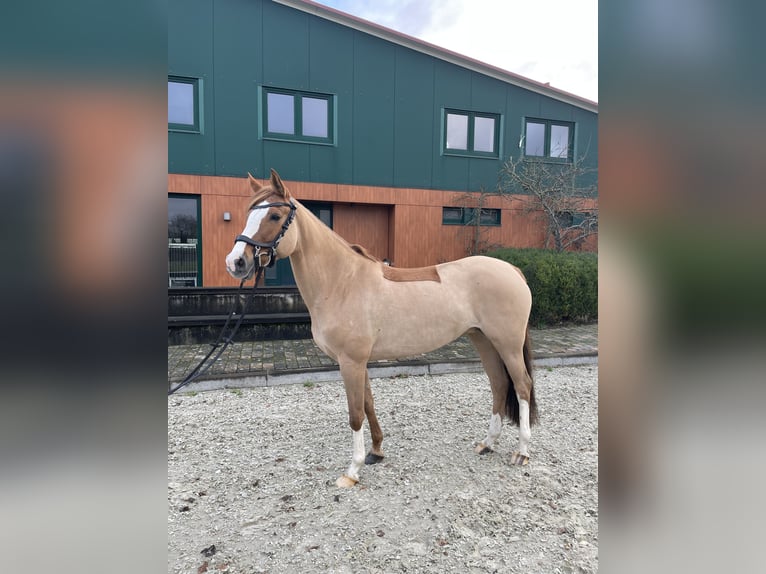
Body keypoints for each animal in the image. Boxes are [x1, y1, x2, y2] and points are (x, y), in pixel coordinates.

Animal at [228, 171, 540, 490]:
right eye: (248, 213)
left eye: (275, 215)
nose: (236, 262)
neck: (342, 282)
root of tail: (513, 271)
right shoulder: (359, 362)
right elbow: (368, 404)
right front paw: (375, 452)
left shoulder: (350, 362)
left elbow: (355, 413)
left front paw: (352, 470)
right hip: (483, 340)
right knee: (499, 384)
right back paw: (487, 443)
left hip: (508, 344)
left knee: (522, 385)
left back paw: (522, 452)